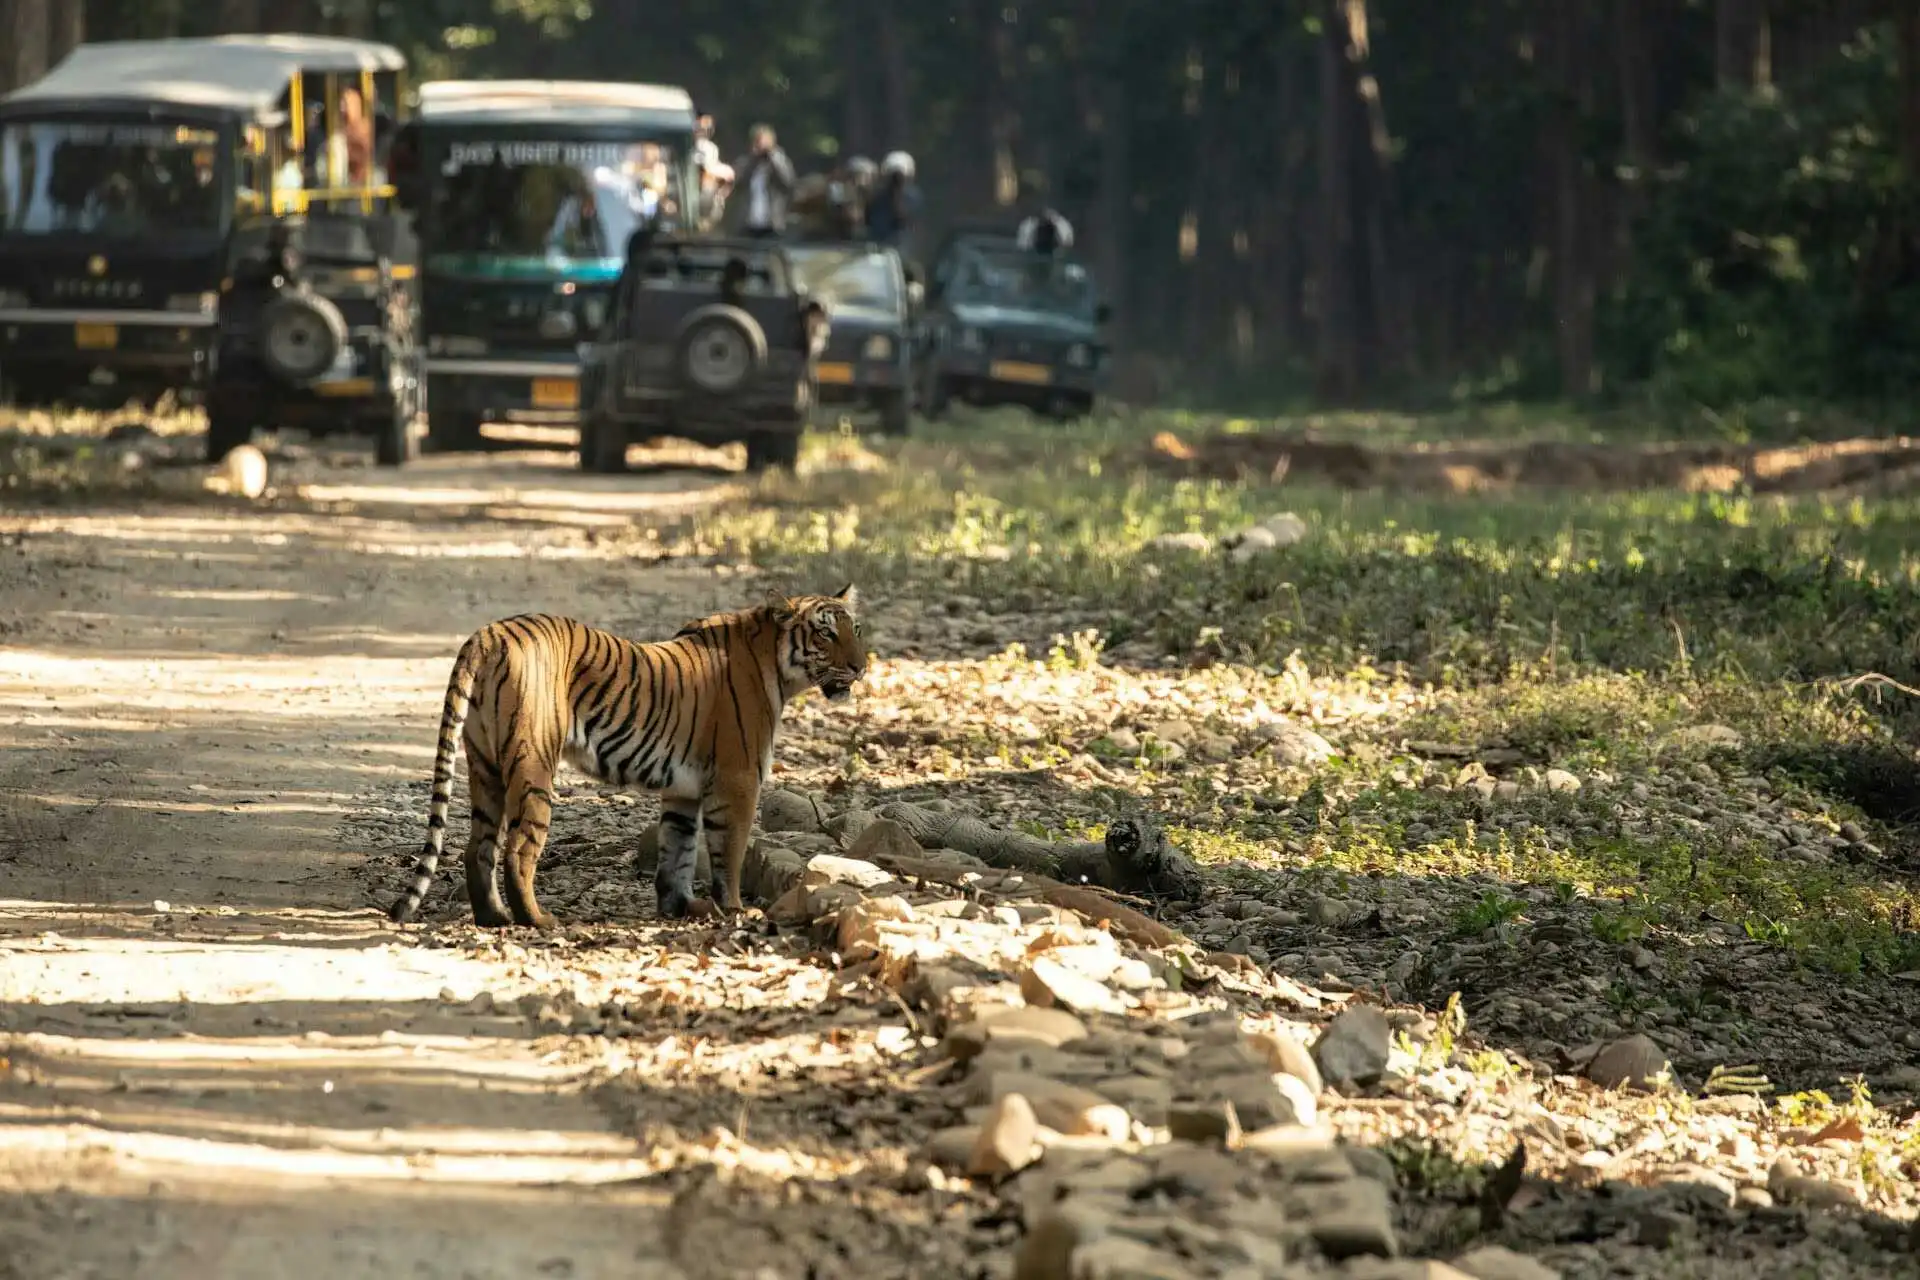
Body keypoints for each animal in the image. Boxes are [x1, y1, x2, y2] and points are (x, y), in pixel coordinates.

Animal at [385, 587, 867, 932]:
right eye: (825, 633)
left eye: (856, 629)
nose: (861, 667)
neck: (777, 665)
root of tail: (487, 635)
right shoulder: (738, 780)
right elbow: (728, 852)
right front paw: (734, 910)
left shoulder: (684, 790)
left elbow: (678, 850)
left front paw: (682, 907)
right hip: (533, 763)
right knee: (518, 850)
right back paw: (537, 920)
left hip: (484, 765)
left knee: (478, 848)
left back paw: (493, 918)